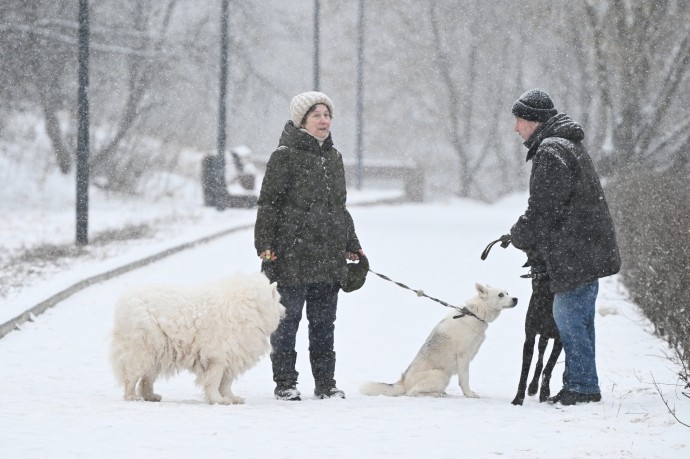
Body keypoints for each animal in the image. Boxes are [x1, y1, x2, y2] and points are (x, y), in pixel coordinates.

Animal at [111, 274, 284, 406]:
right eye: (279, 300)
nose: (285, 310)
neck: (247, 309)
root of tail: (124, 302)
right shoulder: (217, 357)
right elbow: (214, 382)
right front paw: (218, 400)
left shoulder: (231, 356)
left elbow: (226, 383)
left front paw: (231, 398)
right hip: (141, 350)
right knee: (132, 377)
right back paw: (132, 397)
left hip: (157, 353)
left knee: (146, 380)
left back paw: (151, 396)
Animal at [360, 280, 516, 398]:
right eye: (501, 295)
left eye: (507, 292)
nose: (516, 299)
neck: (474, 313)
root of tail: (403, 381)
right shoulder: (463, 357)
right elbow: (465, 379)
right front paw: (469, 395)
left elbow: (462, 380)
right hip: (441, 375)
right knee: (412, 393)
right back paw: (437, 394)